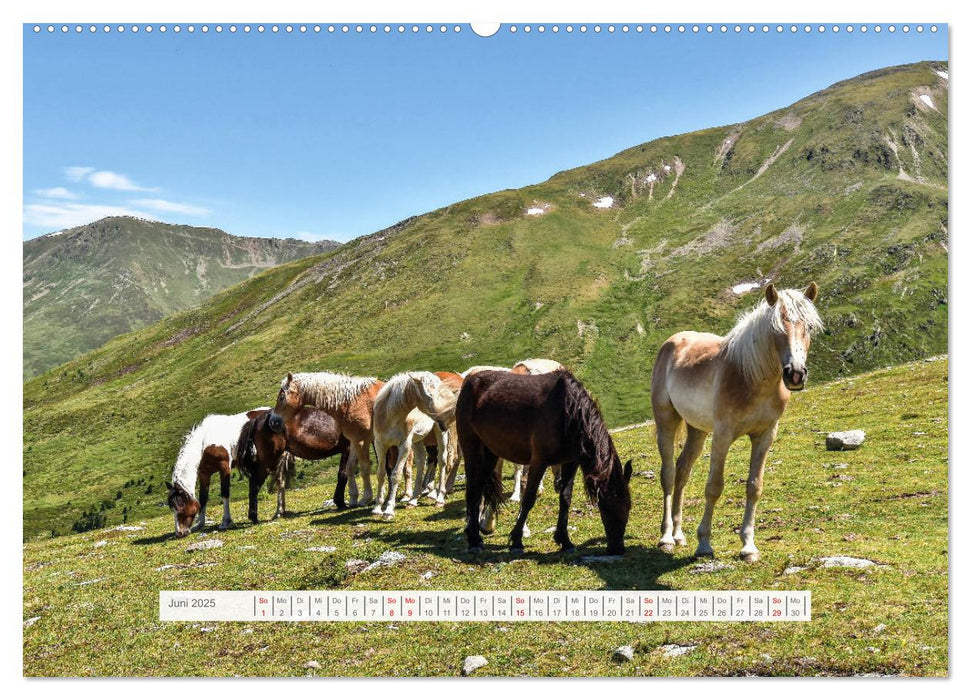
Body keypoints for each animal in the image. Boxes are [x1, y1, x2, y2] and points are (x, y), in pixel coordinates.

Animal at [166, 408, 266, 540]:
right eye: (172, 507)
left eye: (181, 507)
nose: (179, 533)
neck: (205, 443)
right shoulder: (204, 474)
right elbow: (203, 498)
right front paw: (200, 523)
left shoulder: (224, 468)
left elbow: (224, 494)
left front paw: (225, 522)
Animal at [272, 372, 386, 508]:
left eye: (281, 397)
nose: (272, 421)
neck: (352, 401)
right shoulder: (356, 442)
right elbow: (349, 469)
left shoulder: (359, 441)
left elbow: (352, 470)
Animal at [374, 372, 462, 520]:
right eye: (430, 394)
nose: (447, 415)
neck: (391, 416)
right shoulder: (380, 445)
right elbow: (381, 474)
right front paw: (377, 508)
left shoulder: (404, 445)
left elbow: (396, 474)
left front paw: (389, 510)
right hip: (417, 440)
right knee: (421, 461)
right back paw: (414, 499)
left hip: (439, 434)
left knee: (443, 460)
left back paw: (439, 497)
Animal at [458, 370, 636, 556]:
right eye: (606, 508)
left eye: (628, 507)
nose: (617, 548)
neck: (568, 413)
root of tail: (470, 379)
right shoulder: (539, 462)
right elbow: (529, 498)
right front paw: (516, 540)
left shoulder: (570, 462)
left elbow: (565, 499)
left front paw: (565, 540)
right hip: (470, 446)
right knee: (472, 489)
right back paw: (474, 539)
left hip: (491, 451)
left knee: (480, 486)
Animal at [652, 282, 820, 560]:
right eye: (776, 329)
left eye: (809, 327)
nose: (795, 374)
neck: (752, 378)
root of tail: (673, 341)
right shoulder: (723, 435)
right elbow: (714, 486)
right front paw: (704, 544)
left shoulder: (765, 436)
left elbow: (754, 487)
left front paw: (748, 546)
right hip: (666, 420)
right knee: (668, 473)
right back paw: (666, 537)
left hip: (697, 429)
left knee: (682, 471)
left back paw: (678, 534)